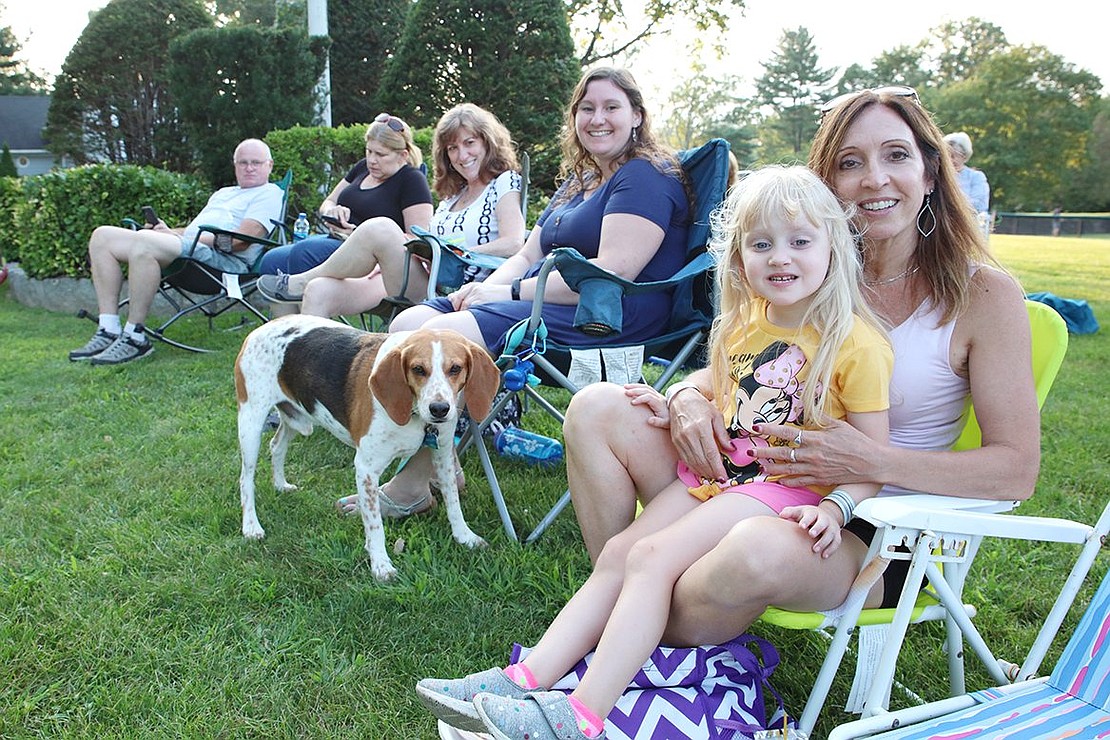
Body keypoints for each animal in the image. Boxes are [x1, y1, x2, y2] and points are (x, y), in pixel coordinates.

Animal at [236, 315, 501, 581]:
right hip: (250, 423)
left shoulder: (443, 456)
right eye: (418, 369)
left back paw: (281, 484)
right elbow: (374, 524)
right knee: (246, 479)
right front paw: (381, 564)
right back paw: (251, 526)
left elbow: (453, 504)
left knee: (276, 446)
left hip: (295, 418)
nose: (439, 409)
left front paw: (465, 536)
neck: (415, 413)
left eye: (455, 368)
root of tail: (262, 327)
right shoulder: (366, 469)